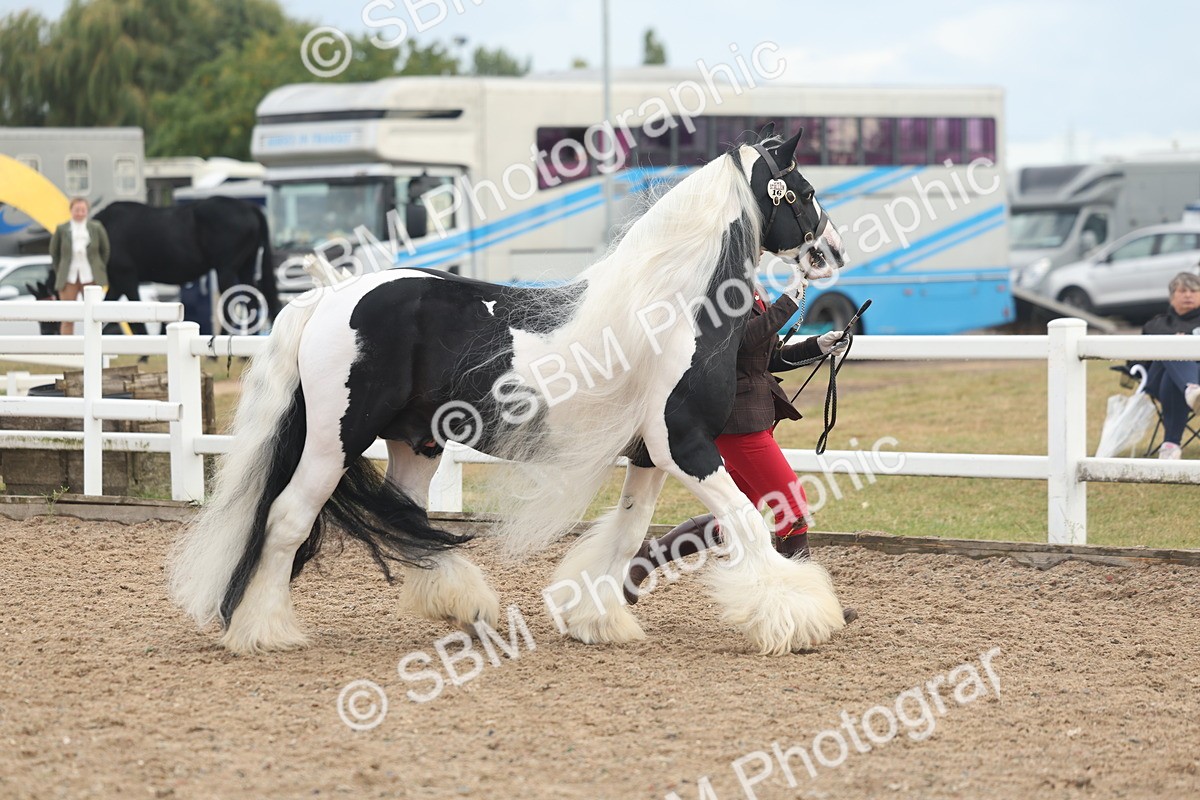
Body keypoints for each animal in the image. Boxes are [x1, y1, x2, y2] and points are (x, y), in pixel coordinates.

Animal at [94, 197, 280, 334]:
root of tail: (250, 207)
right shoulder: (117, 283)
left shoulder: (126, 278)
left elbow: (137, 316)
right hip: (245, 268)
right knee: (252, 303)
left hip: (226, 271)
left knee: (232, 305)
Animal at [166, 129, 852, 657]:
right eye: (804, 190)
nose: (834, 252)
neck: (672, 309)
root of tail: (328, 298)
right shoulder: (684, 445)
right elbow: (747, 522)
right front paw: (798, 619)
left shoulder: (651, 455)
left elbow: (629, 532)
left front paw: (598, 620)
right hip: (334, 441)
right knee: (287, 519)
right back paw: (265, 631)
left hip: (417, 442)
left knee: (406, 520)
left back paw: (464, 603)